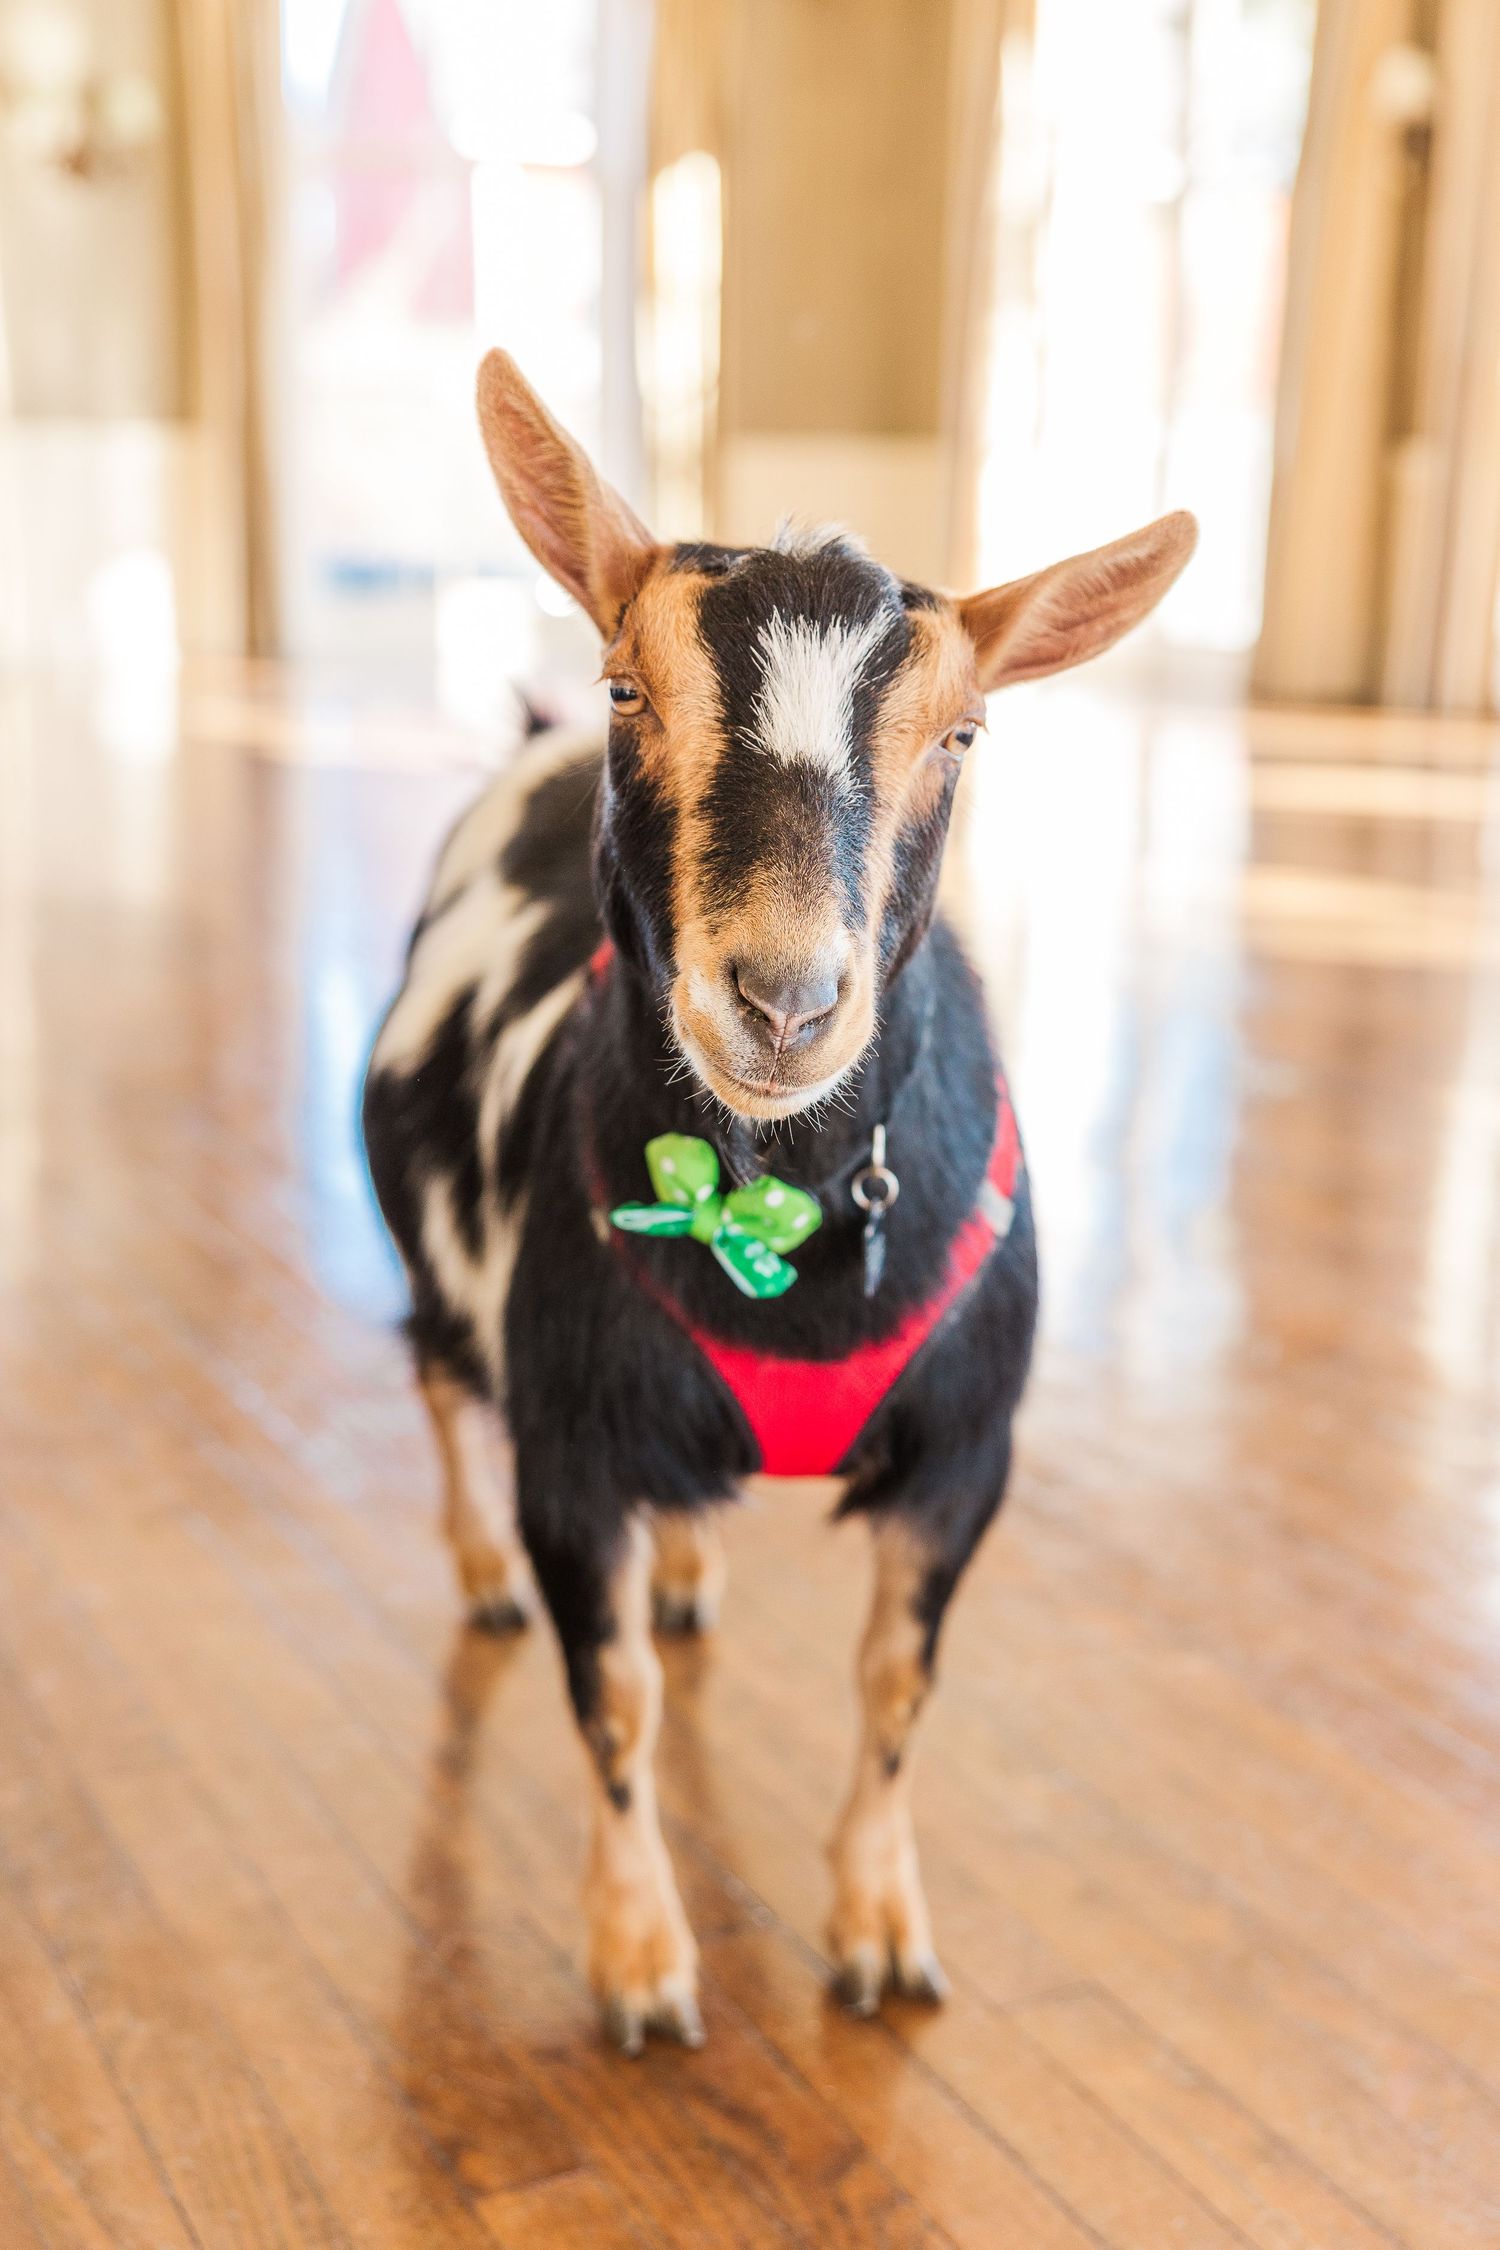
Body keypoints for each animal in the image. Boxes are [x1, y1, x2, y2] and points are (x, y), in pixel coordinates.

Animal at [362, 351, 1195, 2054]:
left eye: (964, 735)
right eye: (632, 686)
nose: (784, 1001)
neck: (788, 1225)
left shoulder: (967, 1451)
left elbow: (894, 1687)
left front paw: (879, 1933)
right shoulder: (574, 1445)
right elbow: (613, 1700)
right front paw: (638, 1960)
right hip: (427, 1236)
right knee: (433, 1373)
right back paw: (479, 1577)